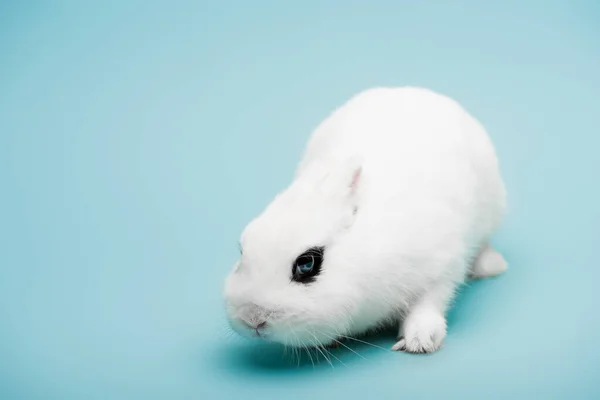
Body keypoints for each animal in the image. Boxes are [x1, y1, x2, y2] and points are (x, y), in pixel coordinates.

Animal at [224, 87, 506, 354]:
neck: (366, 254)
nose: (252, 318)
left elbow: (428, 303)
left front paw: (420, 341)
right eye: (242, 252)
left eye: (307, 264)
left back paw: (492, 266)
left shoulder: (442, 267)